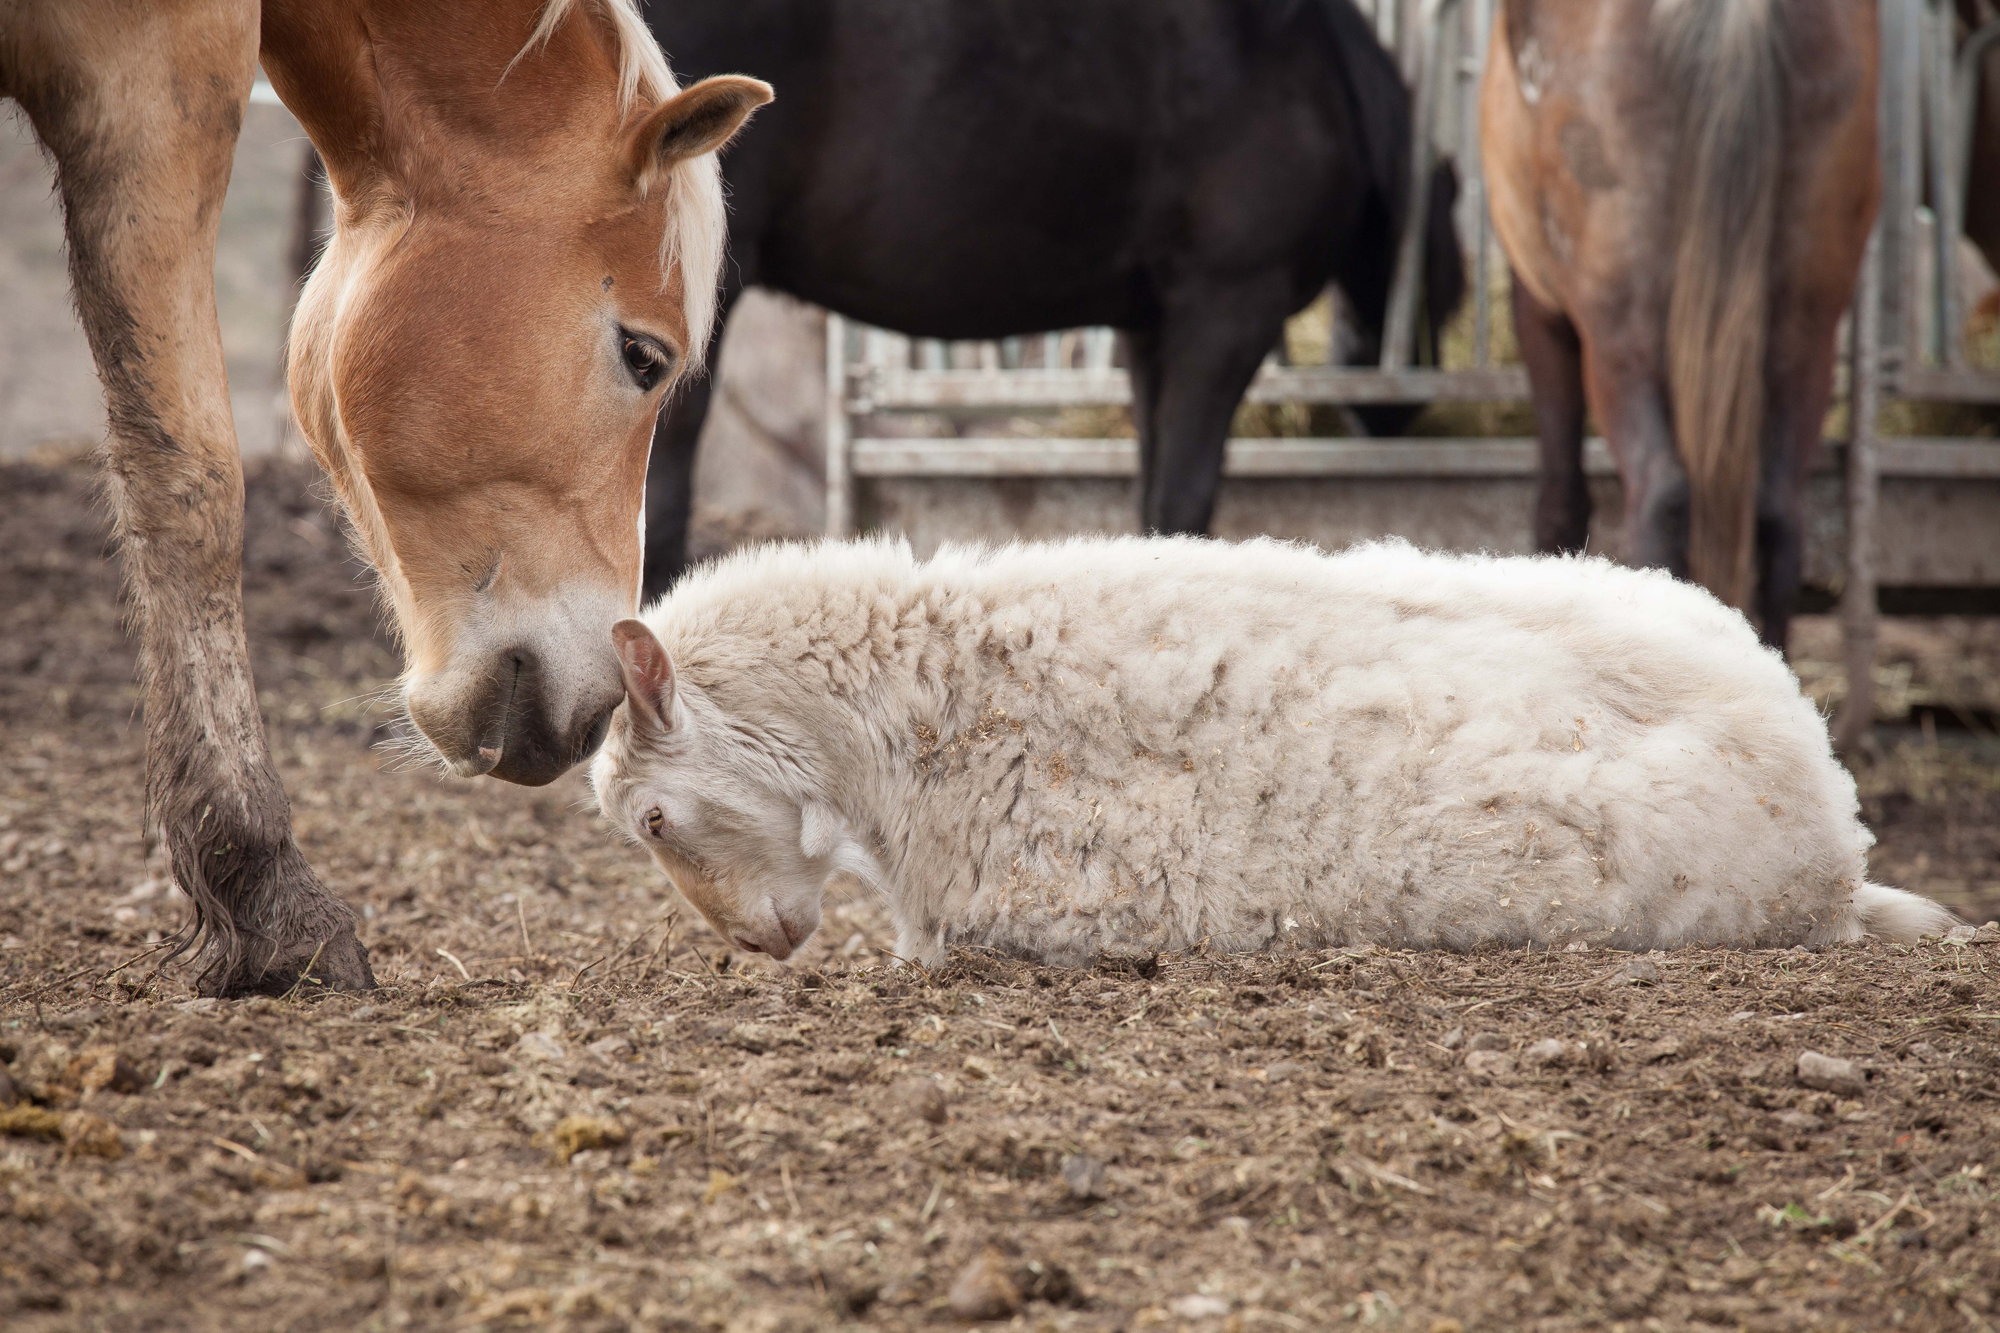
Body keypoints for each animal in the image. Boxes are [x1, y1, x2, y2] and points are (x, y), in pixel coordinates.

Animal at [1488, 0, 1888, 644]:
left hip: (1618, 333)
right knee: (1778, 519)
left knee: (1662, 497)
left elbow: (1561, 502)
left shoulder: (1540, 306)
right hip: (1807, 330)